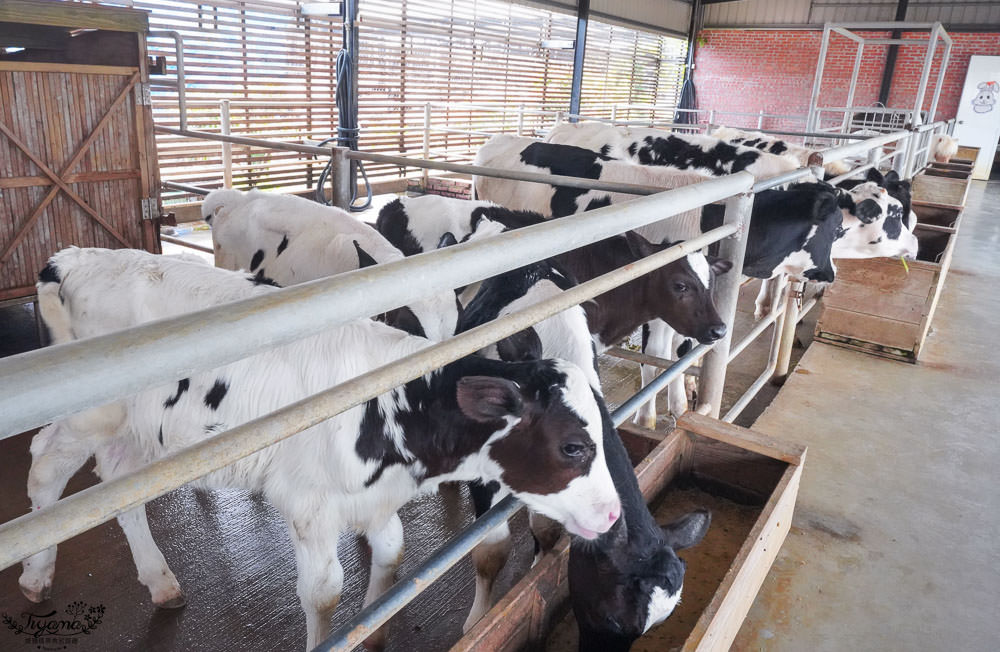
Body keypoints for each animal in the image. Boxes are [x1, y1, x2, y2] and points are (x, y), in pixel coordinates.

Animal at [21, 247, 616, 648]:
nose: (613, 513)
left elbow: (391, 559)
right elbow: (324, 592)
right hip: (89, 416)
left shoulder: (376, 501)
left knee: (119, 490)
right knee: (46, 469)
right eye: (572, 447)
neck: (388, 402)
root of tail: (70, 260)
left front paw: (373, 633)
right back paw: (35, 574)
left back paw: (161, 581)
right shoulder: (309, 505)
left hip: (143, 433)